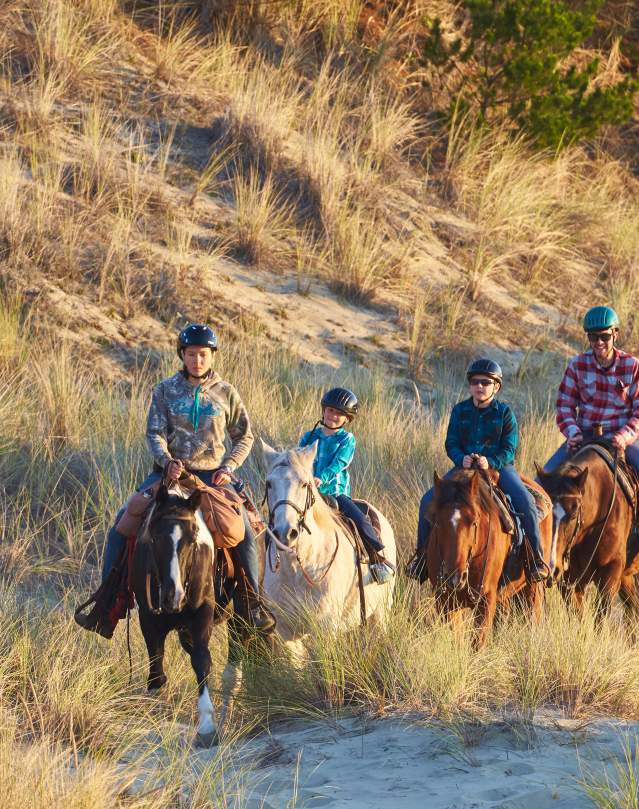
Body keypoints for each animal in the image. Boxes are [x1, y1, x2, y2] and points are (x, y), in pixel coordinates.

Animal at [260, 438, 396, 660]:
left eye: (304, 483)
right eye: (269, 483)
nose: (285, 533)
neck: (300, 569)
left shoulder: (325, 628)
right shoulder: (287, 633)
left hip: (380, 612)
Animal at [428, 468, 552, 644]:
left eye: (474, 522)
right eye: (437, 522)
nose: (454, 578)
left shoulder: (486, 599)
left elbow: (478, 643)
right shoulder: (445, 600)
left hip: (532, 588)